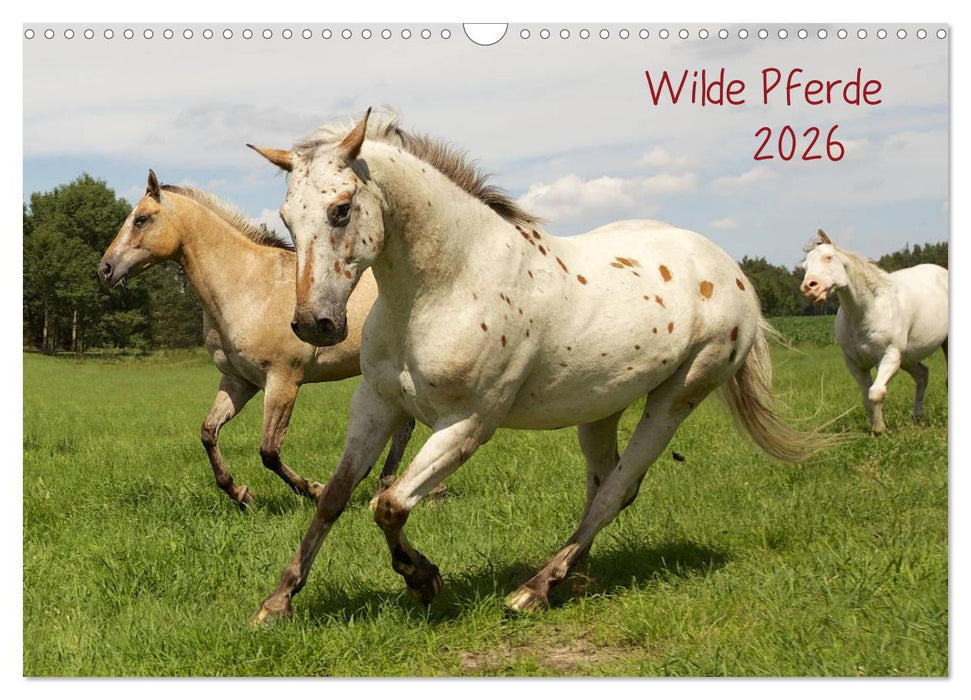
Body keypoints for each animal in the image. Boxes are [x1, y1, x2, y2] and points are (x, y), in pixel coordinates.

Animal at [98, 171, 415, 509]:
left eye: (141, 219)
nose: (104, 269)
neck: (250, 286)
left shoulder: (283, 381)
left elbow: (269, 451)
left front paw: (313, 489)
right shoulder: (239, 381)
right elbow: (208, 432)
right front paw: (240, 495)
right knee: (405, 426)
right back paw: (386, 491)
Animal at [246, 110, 834, 623]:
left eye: (342, 209)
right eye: (287, 219)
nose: (314, 324)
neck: (449, 282)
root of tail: (731, 270)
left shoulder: (468, 424)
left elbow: (388, 503)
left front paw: (423, 579)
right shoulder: (376, 404)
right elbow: (334, 498)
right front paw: (277, 603)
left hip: (676, 399)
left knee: (617, 490)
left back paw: (534, 589)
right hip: (601, 409)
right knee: (606, 486)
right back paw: (574, 578)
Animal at [799, 229, 948, 435]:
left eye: (828, 257)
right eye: (805, 265)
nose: (809, 287)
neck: (869, 310)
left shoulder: (889, 356)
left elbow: (876, 393)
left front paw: (879, 429)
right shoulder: (855, 363)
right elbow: (866, 398)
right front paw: (876, 429)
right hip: (908, 358)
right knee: (922, 375)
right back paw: (918, 417)